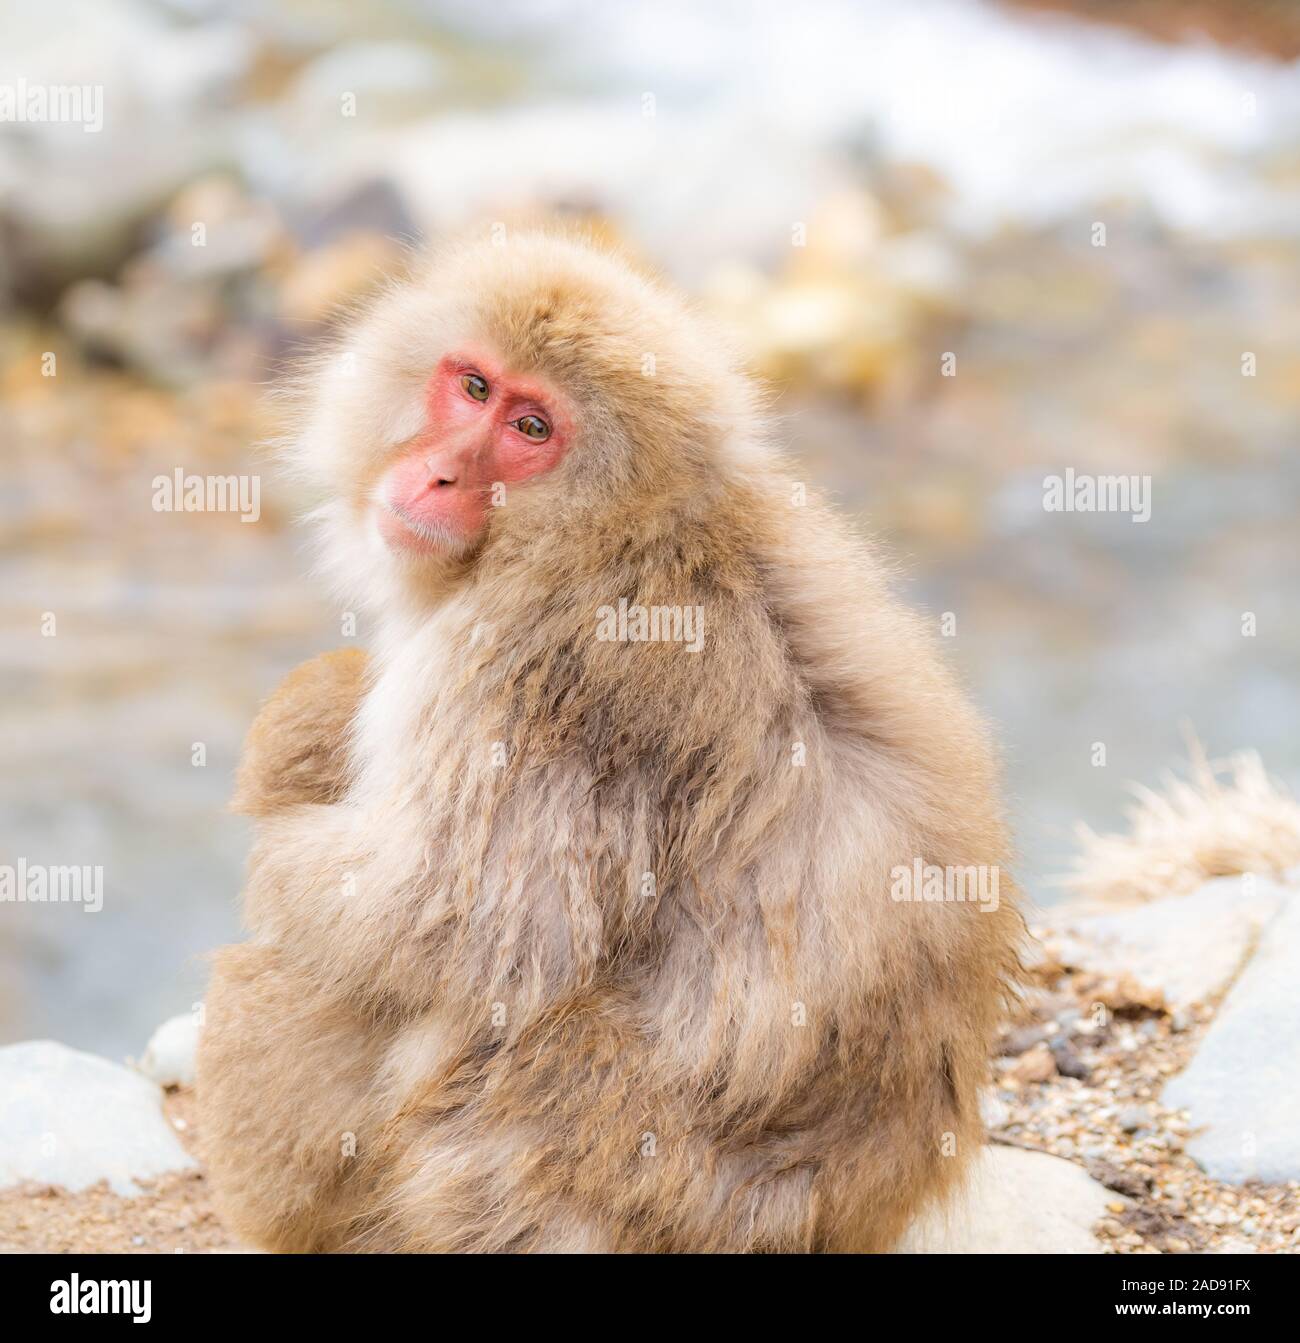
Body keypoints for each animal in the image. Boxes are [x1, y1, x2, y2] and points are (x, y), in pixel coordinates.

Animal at [196, 229, 1023, 1254]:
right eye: (473, 387)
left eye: (531, 429)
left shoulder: (529, 664)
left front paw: (282, 813)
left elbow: (462, 923)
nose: (439, 474)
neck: (616, 527)